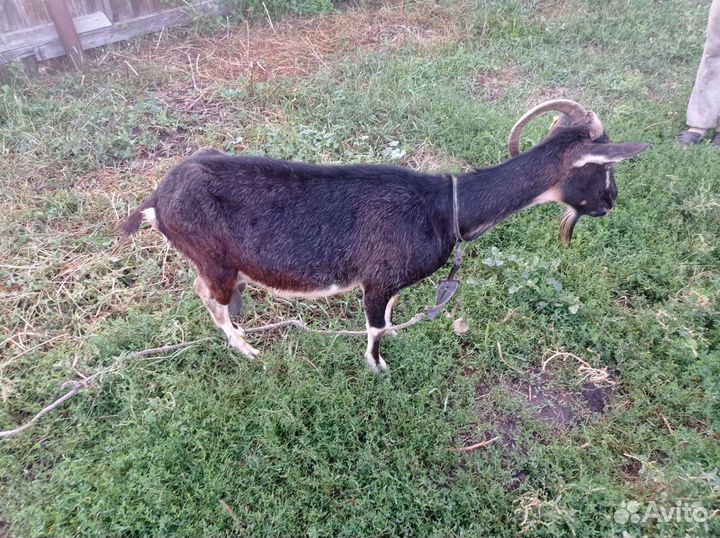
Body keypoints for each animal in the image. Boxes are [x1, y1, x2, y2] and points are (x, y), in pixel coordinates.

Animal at [122, 100, 648, 373]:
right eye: (604, 168)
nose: (612, 202)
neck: (446, 206)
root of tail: (157, 199)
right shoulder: (375, 281)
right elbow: (375, 327)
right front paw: (379, 367)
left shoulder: (392, 286)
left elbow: (391, 317)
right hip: (214, 258)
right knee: (207, 295)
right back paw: (248, 347)